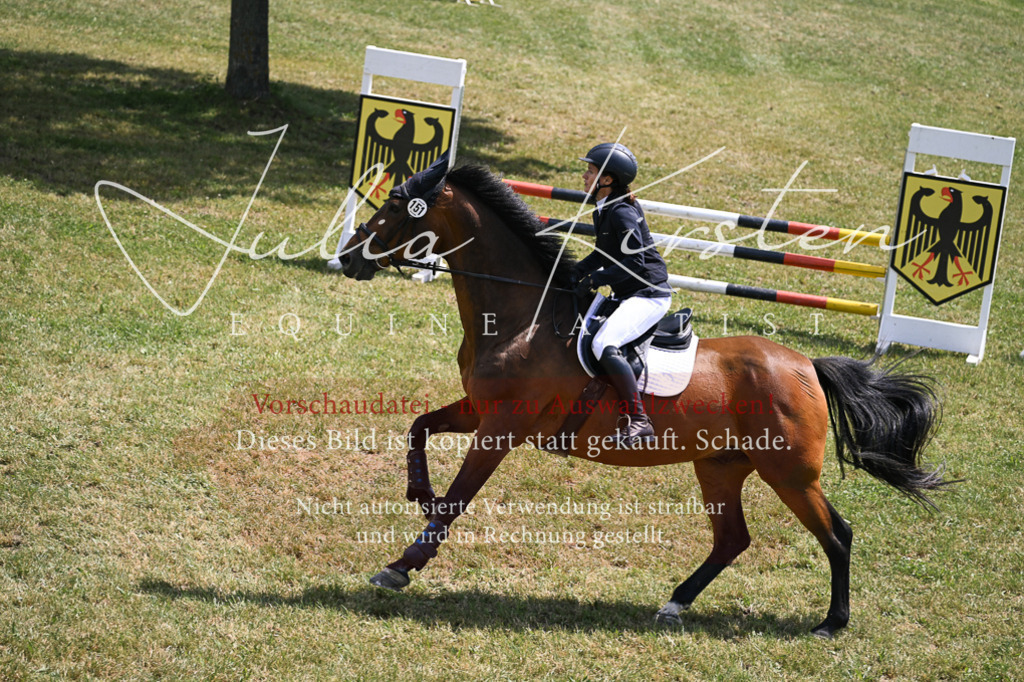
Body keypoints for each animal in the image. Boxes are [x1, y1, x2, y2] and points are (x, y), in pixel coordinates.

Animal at [338, 162, 946, 638]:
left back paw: (831, 623)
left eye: (396, 208)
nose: (348, 258)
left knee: (836, 535)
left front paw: (403, 564)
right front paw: (419, 491)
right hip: (721, 465)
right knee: (732, 539)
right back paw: (674, 603)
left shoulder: (502, 426)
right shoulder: (477, 411)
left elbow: (458, 499)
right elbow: (419, 427)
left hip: (790, 473)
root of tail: (807, 367)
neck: (520, 315)